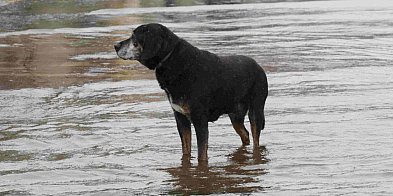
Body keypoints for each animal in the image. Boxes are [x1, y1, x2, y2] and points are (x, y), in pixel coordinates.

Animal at [113, 23, 266, 161]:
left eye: (134, 38)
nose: (115, 45)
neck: (171, 60)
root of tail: (259, 67)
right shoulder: (181, 119)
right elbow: (186, 150)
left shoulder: (199, 120)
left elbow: (201, 154)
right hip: (235, 116)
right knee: (245, 134)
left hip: (256, 111)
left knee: (255, 141)